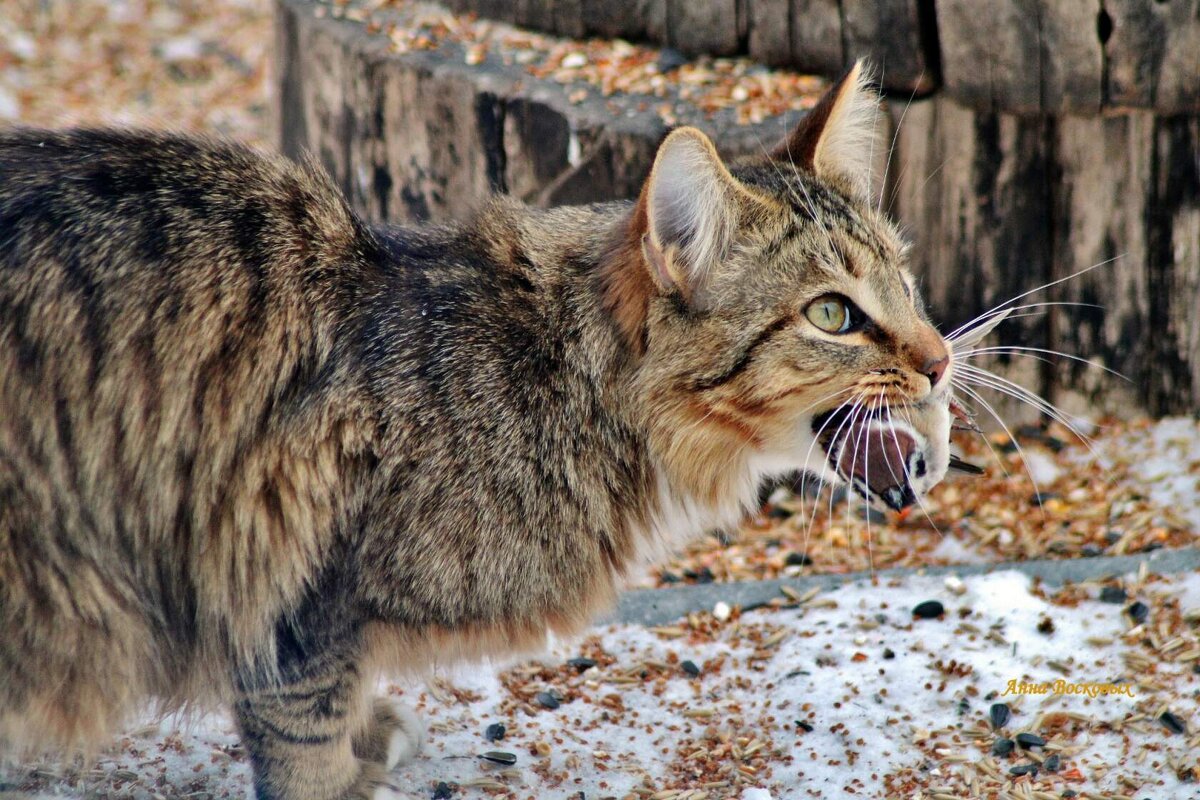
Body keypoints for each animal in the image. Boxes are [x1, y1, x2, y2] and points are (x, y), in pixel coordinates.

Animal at [0, 64, 955, 800]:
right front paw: (340, 774)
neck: (553, 378)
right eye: (832, 314)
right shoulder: (292, 580)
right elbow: (301, 729)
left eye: (906, 284)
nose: (943, 359)